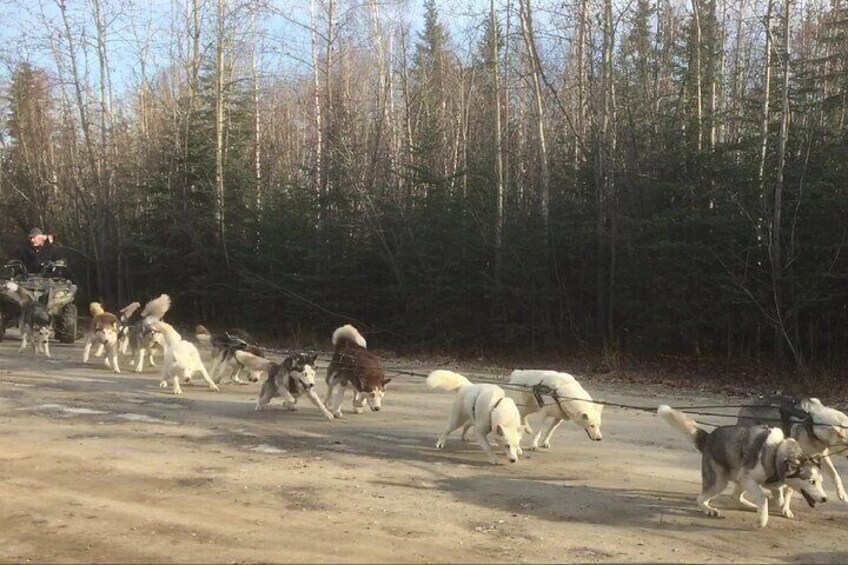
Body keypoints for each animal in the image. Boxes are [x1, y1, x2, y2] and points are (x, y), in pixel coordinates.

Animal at [656, 404, 828, 528]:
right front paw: (762, 518)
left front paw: (773, 505)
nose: (825, 499)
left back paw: (751, 506)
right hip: (720, 482)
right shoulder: (749, 478)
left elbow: (779, 497)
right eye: (811, 482)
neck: (777, 453)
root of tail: (709, 436)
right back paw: (708, 509)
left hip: (738, 479)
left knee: (735, 497)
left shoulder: (771, 482)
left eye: (820, 482)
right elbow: (763, 496)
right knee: (701, 498)